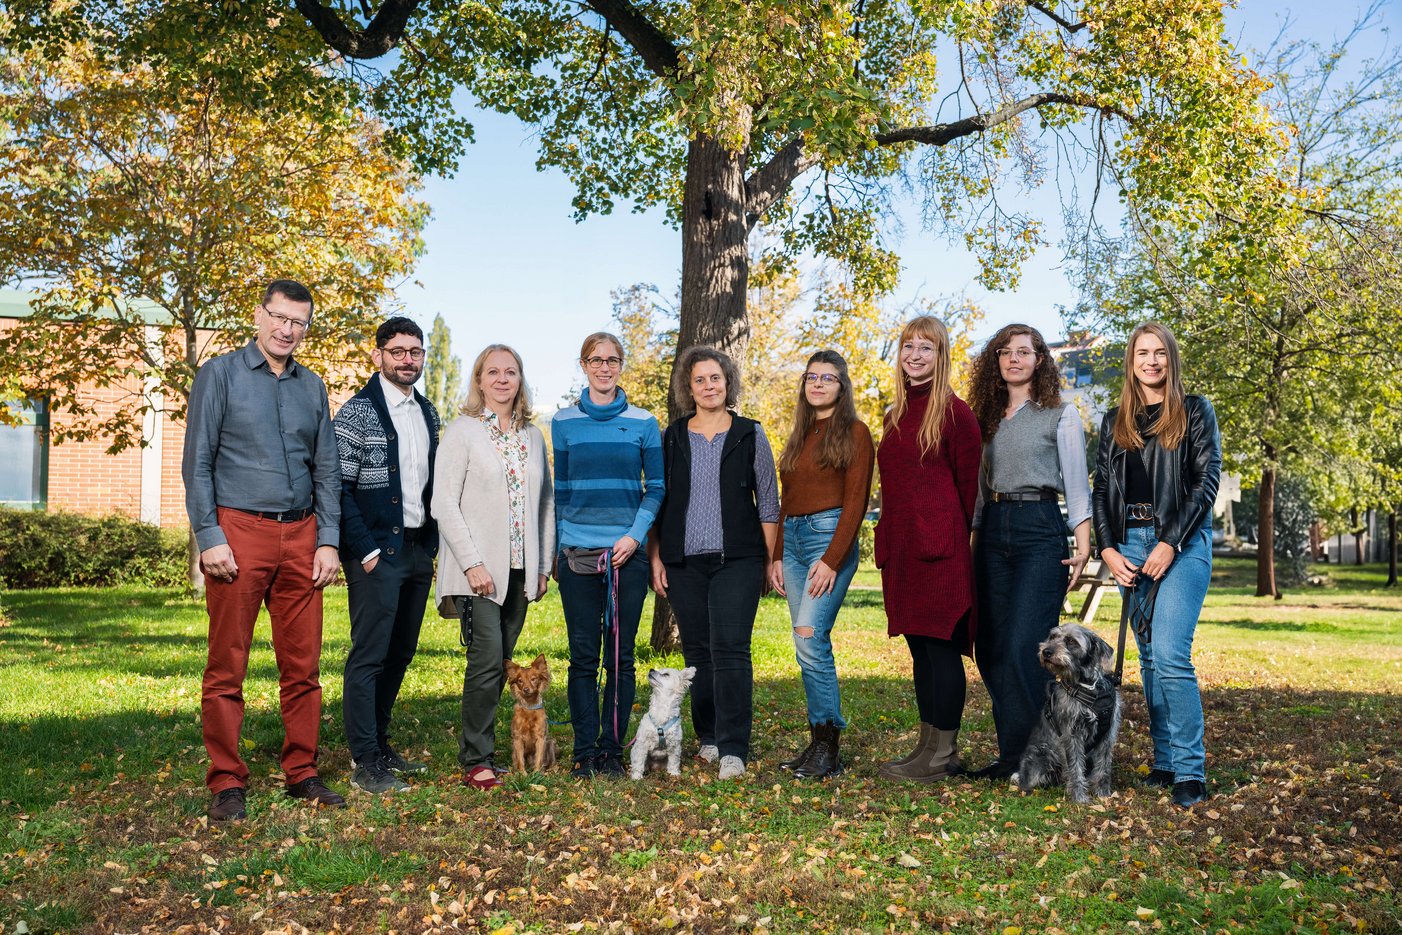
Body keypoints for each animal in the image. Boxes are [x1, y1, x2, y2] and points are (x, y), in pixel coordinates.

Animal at [1015, 625, 1121, 801]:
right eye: (1052, 636)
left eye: (1071, 641)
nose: (1046, 651)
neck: (1089, 687)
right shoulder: (1072, 734)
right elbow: (1075, 767)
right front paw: (1079, 797)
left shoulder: (1107, 735)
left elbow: (1104, 767)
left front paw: (1103, 793)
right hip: (1042, 756)